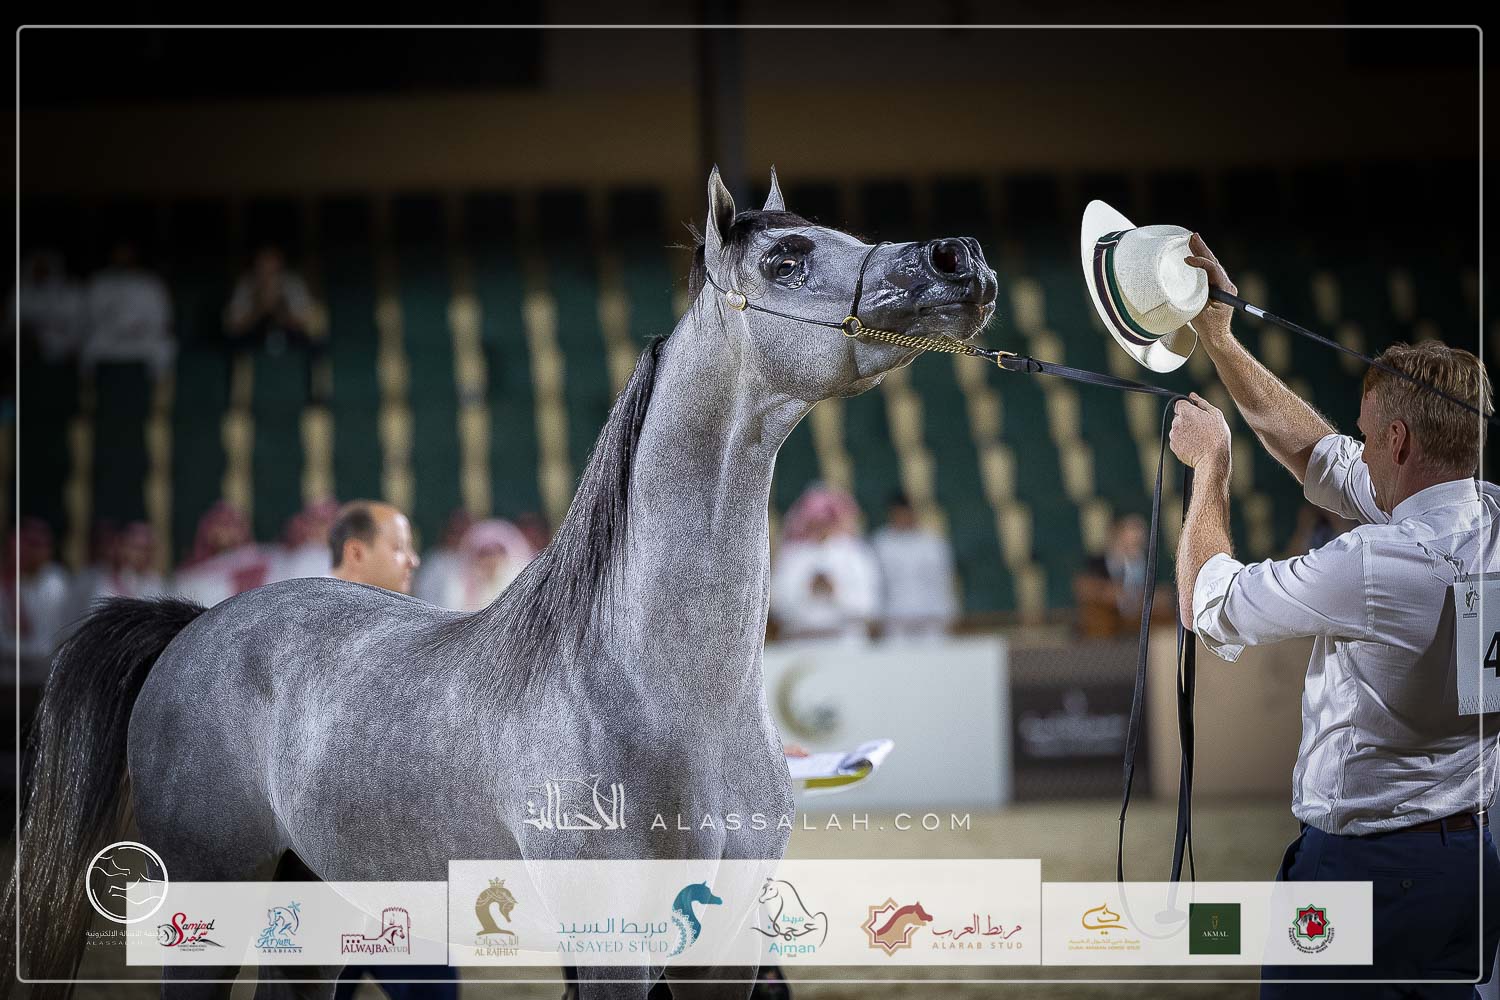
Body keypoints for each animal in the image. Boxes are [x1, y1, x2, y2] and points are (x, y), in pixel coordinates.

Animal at [4, 167, 997, 1000]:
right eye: (786, 258)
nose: (960, 258)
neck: (660, 690)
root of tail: (194, 625)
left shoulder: (722, 955)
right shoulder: (612, 951)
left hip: (318, 914)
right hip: (209, 904)